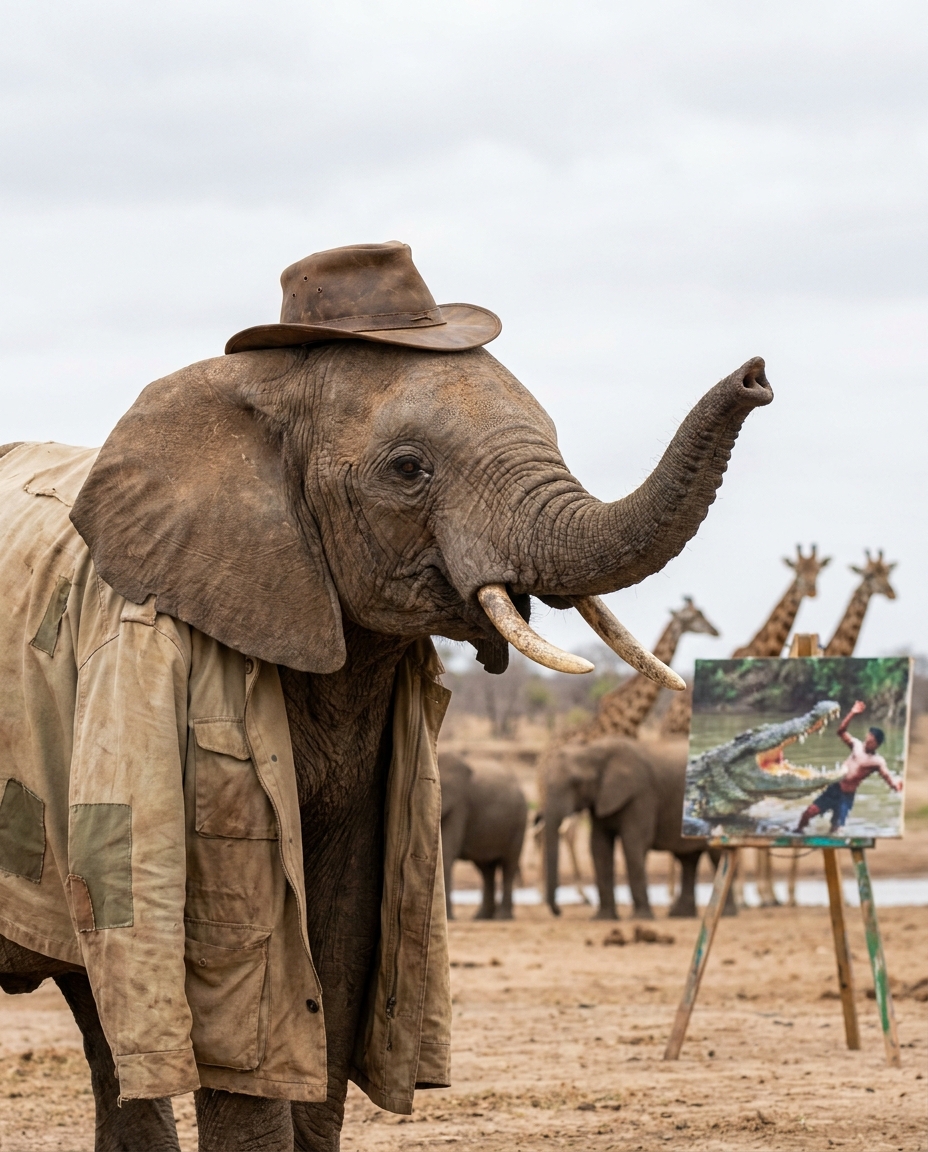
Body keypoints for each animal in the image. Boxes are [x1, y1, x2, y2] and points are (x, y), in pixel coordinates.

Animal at [439, 754, 528, 920]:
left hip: (519, 822)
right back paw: (481, 917)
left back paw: (502, 917)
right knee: (486, 870)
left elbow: (446, 852)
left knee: (508, 865)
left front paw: (449, 919)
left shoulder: (459, 804)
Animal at [542, 736, 735, 919]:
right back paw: (680, 914)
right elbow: (599, 847)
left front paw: (641, 917)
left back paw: (726, 913)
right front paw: (602, 918)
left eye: (576, 782)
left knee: (716, 856)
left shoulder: (641, 793)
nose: (558, 912)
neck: (594, 749)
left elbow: (633, 843)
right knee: (687, 859)